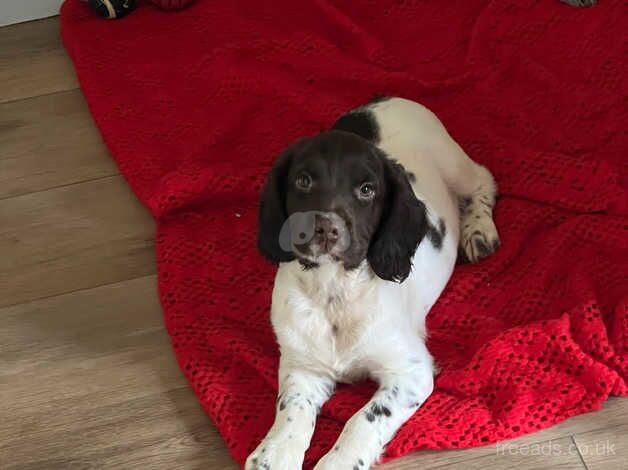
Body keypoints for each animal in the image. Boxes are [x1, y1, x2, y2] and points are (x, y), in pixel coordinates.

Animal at [245, 97, 500, 468]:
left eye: (367, 190)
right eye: (303, 181)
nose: (326, 228)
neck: (334, 290)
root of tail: (386, 99)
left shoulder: (410, 372)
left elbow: (362, 420)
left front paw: (337, 462)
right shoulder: (301, 365)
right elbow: (291, 410)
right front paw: (275, 454)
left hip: (454, 163)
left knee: (483, 180)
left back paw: (478, 229)